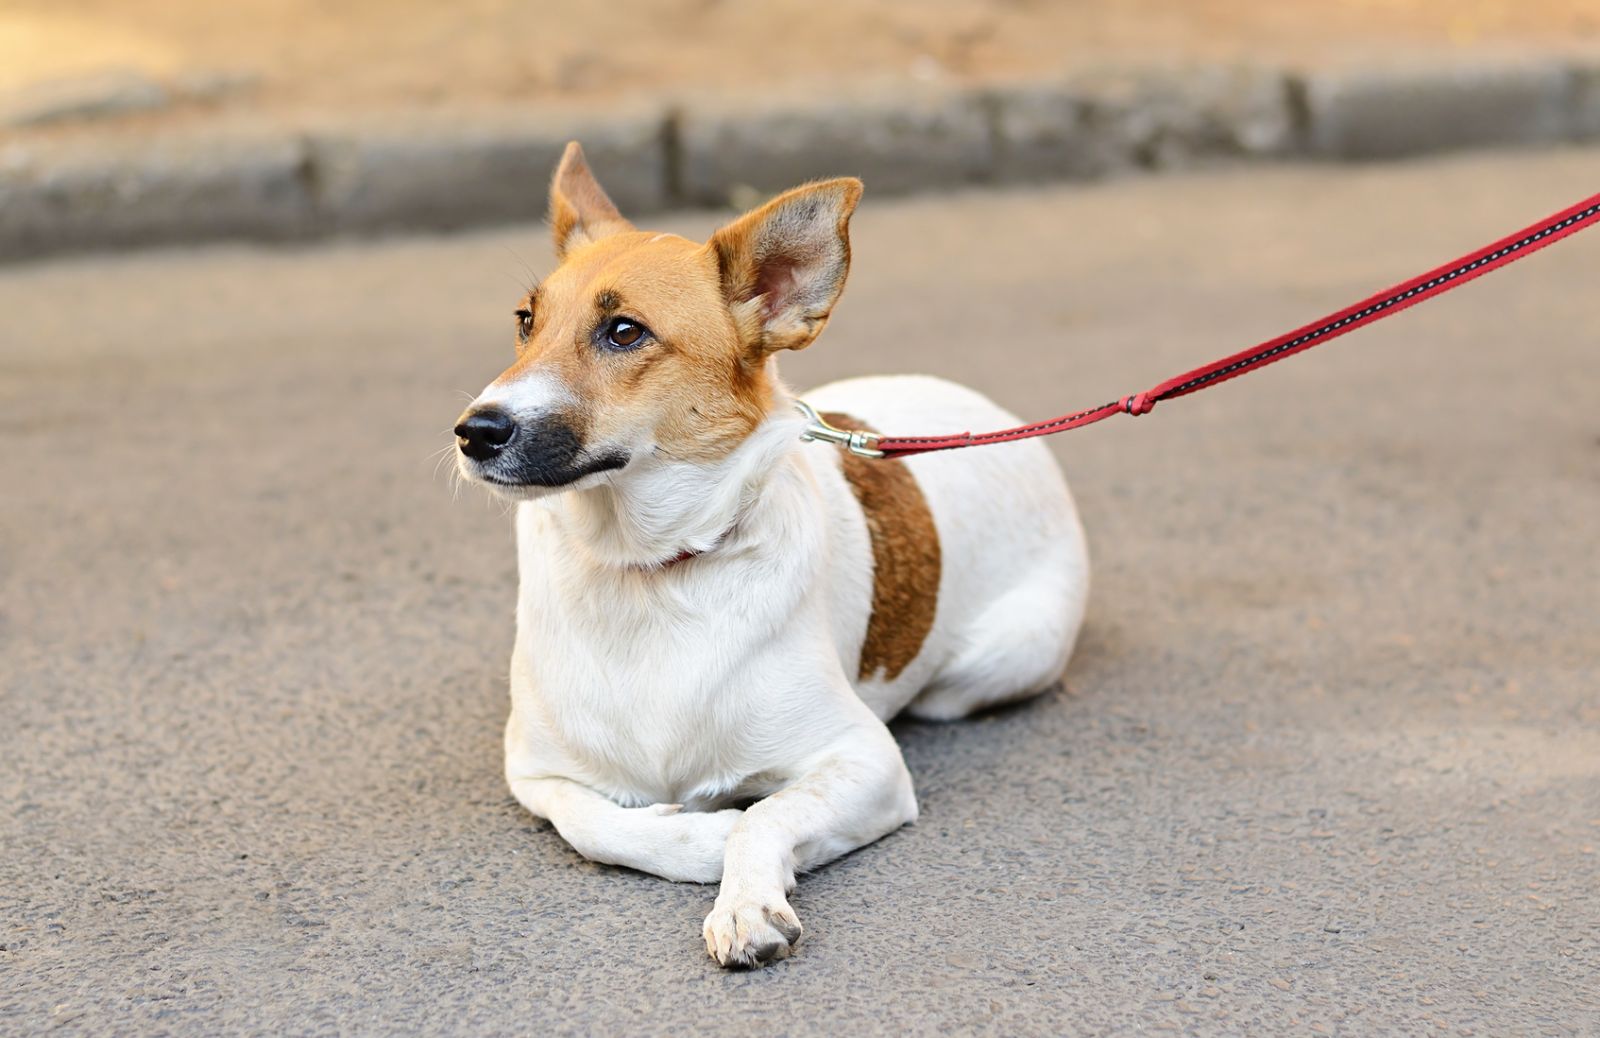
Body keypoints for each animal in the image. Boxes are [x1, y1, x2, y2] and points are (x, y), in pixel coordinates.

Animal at [457, 139, 1094, 966]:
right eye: (526, 320)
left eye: (624, 332)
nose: (474, 431)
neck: (648, 572)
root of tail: (997, 418)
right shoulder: (535, 770)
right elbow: (594, 823)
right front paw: (699, 837)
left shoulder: (867, 762)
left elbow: (766, 815)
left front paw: (745, 896)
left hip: (997, 661)